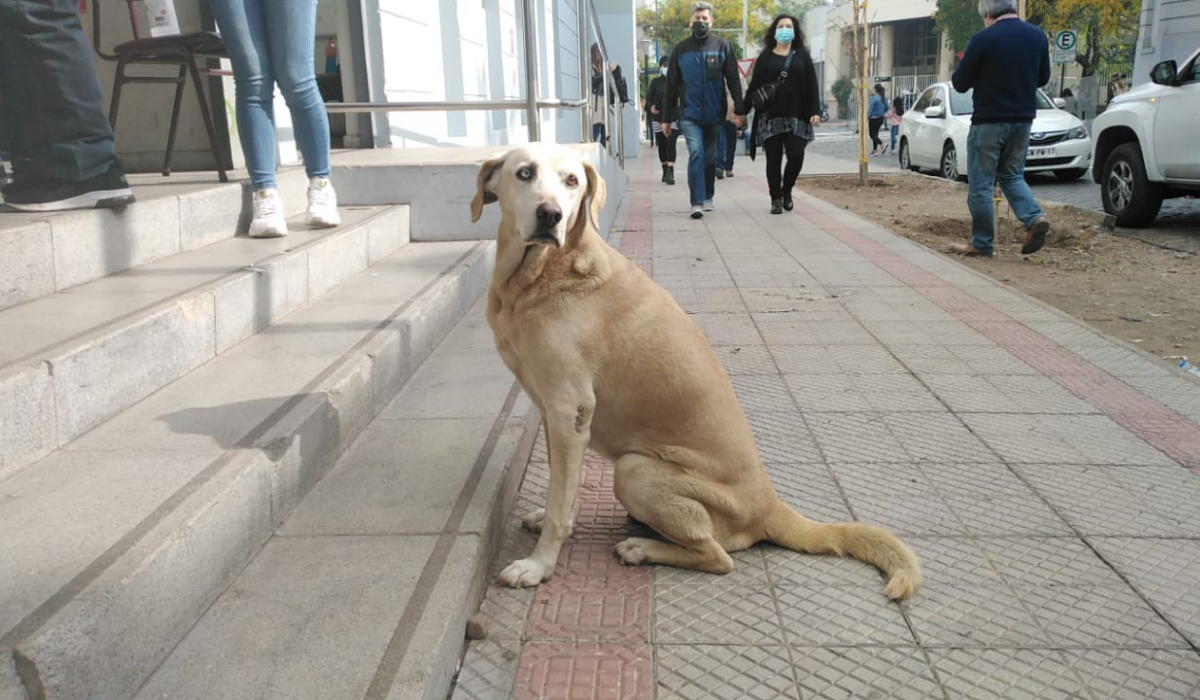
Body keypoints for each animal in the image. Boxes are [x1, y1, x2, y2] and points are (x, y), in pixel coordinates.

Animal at [468, 144, 916, 602]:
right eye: (525, 173)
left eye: (572, 181)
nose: (550, 214)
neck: (541, 271)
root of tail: (769, 506)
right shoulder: (552, 412)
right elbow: (564, 487)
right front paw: (548, 517)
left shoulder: (568, 409)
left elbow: (562, 501)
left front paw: (539, 565)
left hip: (635, 470)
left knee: (718, 557)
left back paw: (642, 549)